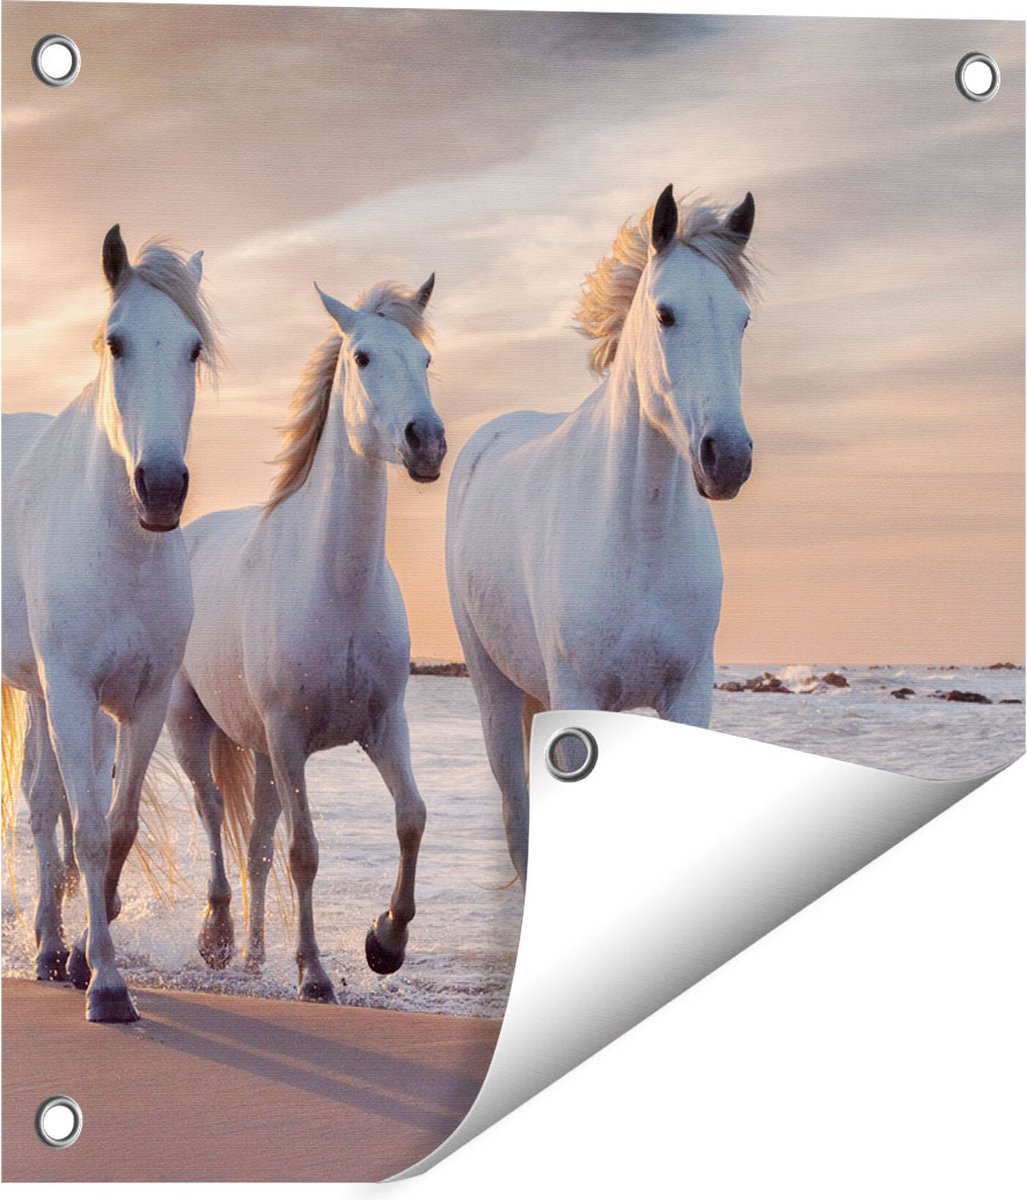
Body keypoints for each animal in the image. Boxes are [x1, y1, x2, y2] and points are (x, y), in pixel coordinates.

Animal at [2, 226, 219, 1021]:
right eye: (116, 343)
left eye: (193, 348)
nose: (160, 487)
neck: (121, 546)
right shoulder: (70, 689)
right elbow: (89, 831)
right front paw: (108, 985)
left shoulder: (143, 700)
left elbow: (115, 823)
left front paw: (97, 943)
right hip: (48, 692)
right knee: (45, 809)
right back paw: (51, 948)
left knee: (51, 801)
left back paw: (52, 947)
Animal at [166, 275, 445, 1002]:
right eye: (363, 358)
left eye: (425, 359)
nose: (427, 442)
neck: (337, 586)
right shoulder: (291, 735)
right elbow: (305, 852)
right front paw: (315, 973)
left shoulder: (383, 725)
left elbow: (411, 817)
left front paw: (385, 943)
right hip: (191, 726)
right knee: (213, 813)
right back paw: (217, 938)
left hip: (262, 754)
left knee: (256, 844)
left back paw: (256, 956)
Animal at [446, 185, 757, 881]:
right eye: (666, 314)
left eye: (743, 320)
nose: (727, 458)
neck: (637, 536)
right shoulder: (578, 696)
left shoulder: (688, 692)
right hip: (492, 688)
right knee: (518, 817)